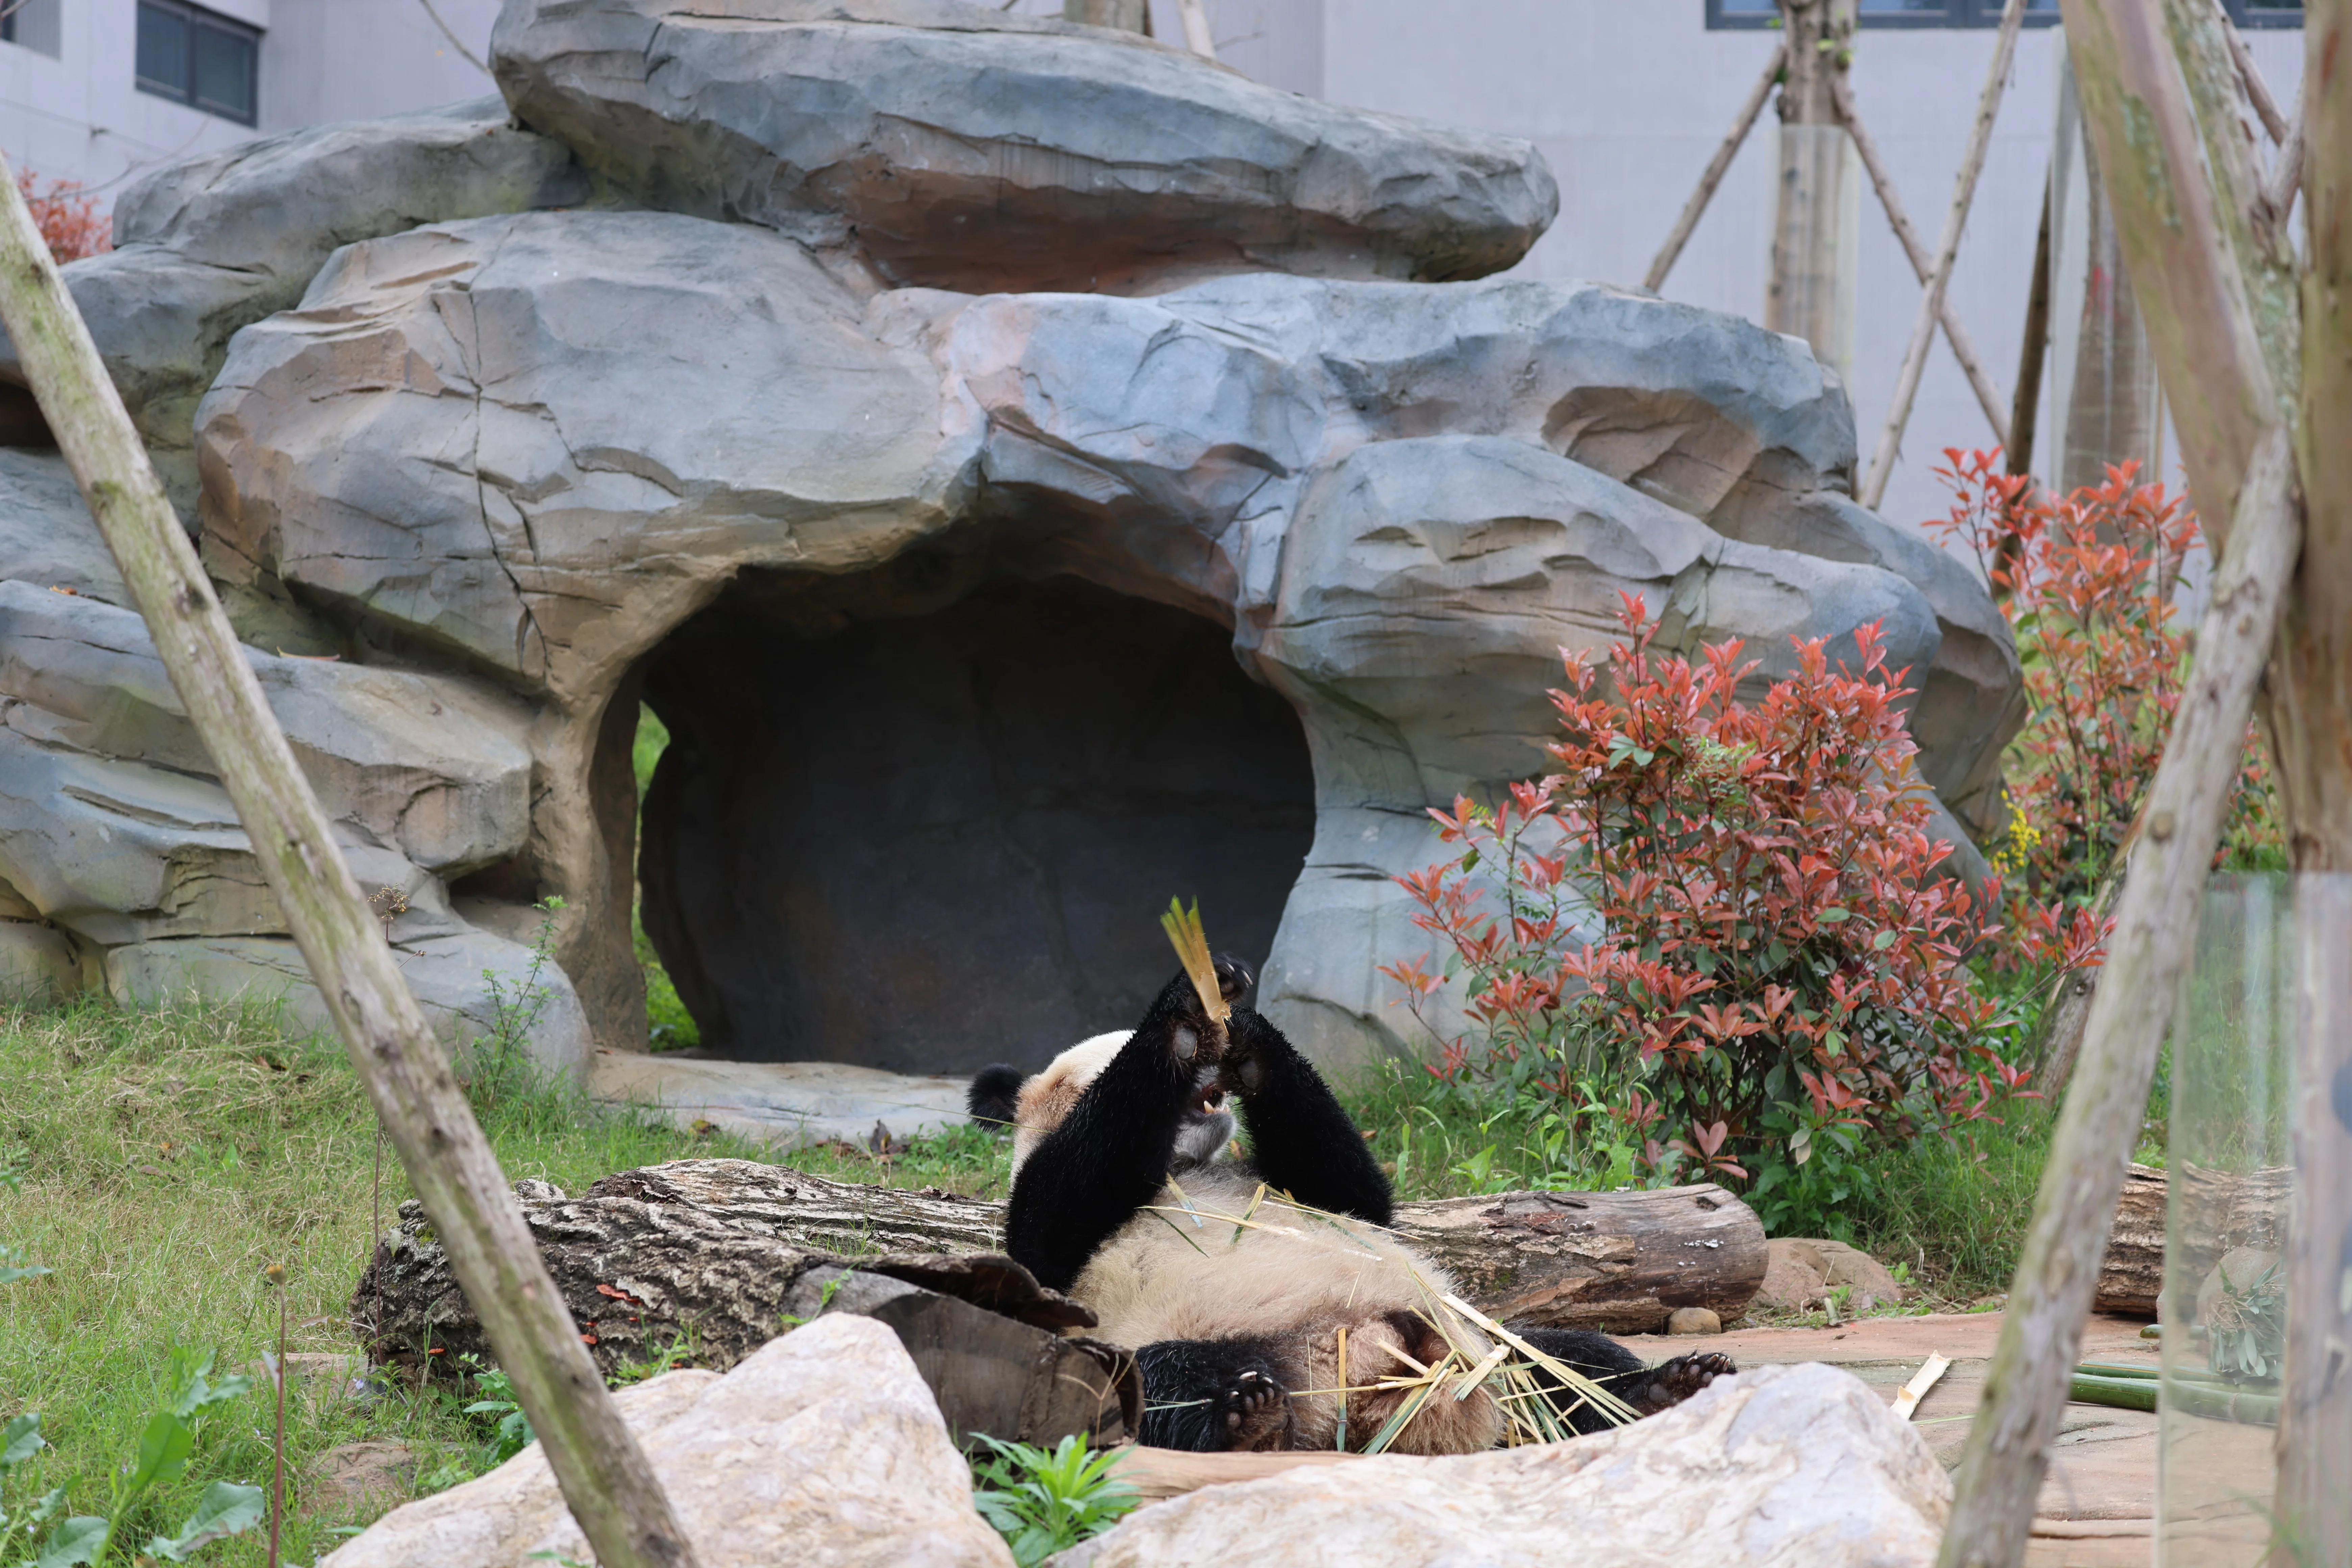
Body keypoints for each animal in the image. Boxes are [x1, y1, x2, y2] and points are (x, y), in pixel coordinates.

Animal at [967, 955, 1735, 1453]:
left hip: (1480, 1341)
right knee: (1164, 1379)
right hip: (1208, 1336)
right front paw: (1185, 1016)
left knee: (1561, 1358)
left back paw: (1666, 1388)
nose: (1212, 1069)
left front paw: (1247, 1032)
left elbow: (1353, 1193)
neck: (1186, 1170)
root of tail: (1378, 1381)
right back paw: (1248, 1420)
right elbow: (1070, 1192)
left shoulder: (1272, 1178)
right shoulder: (1051, 1230)